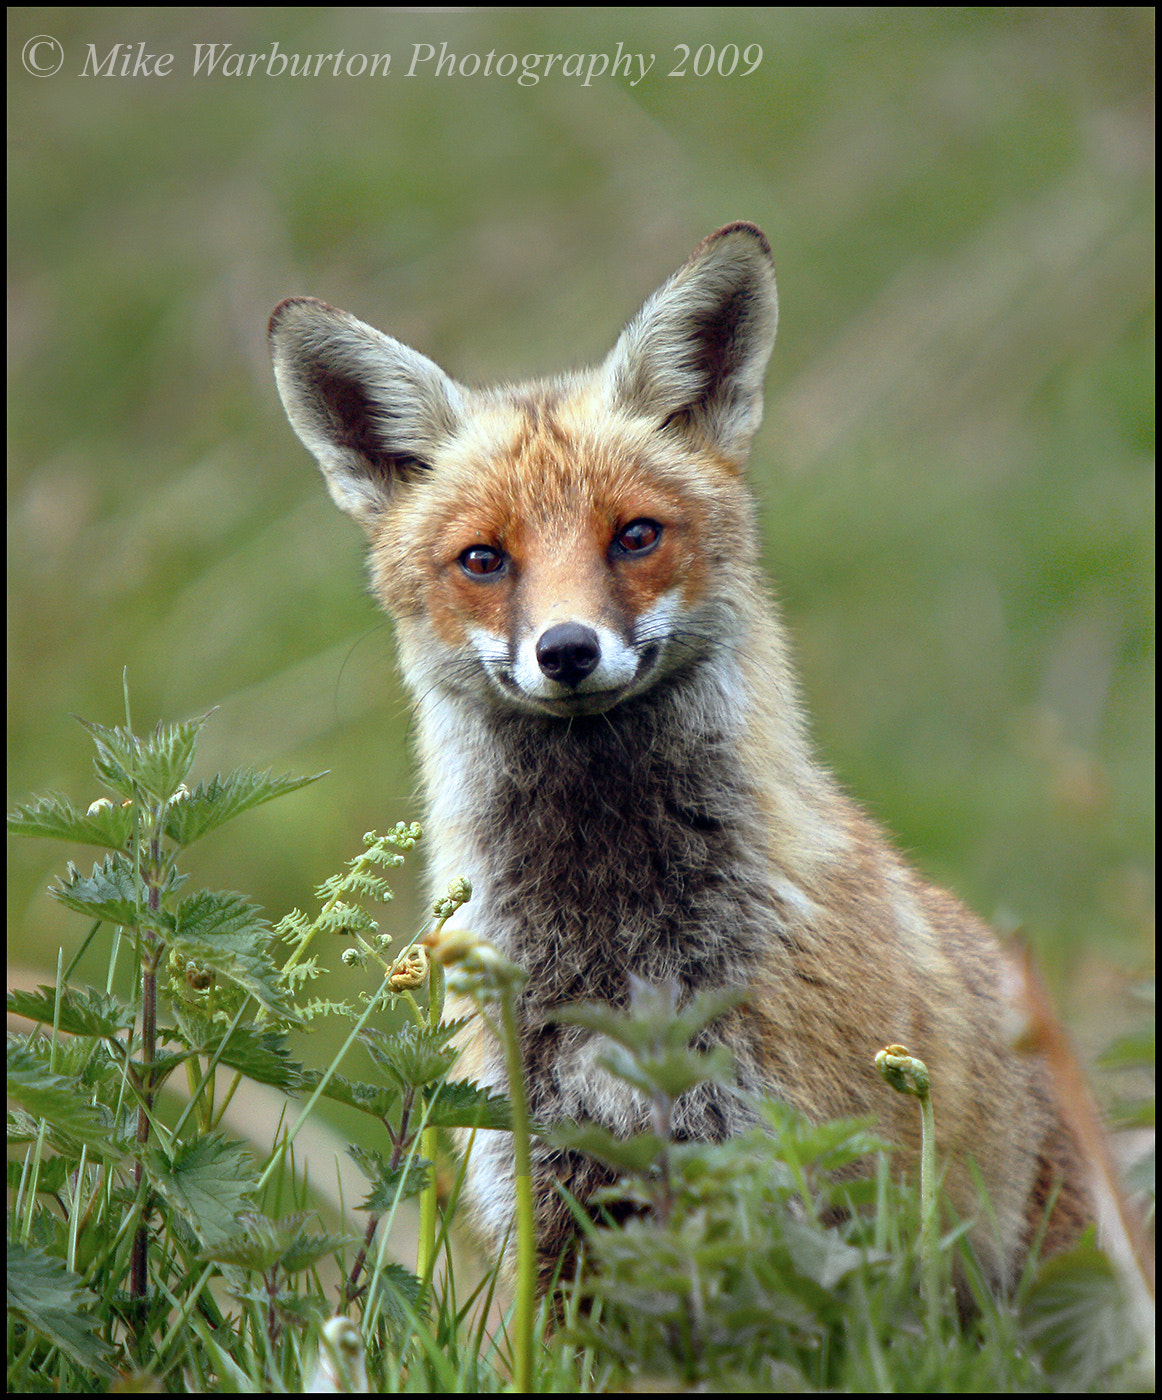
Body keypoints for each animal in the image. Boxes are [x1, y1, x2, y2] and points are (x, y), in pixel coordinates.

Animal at [268, 222, 1092, 1291]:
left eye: (635, 535)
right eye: (485, 559)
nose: (567, 651)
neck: (617, 947)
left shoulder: (795, 1180)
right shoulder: (553, 1206)